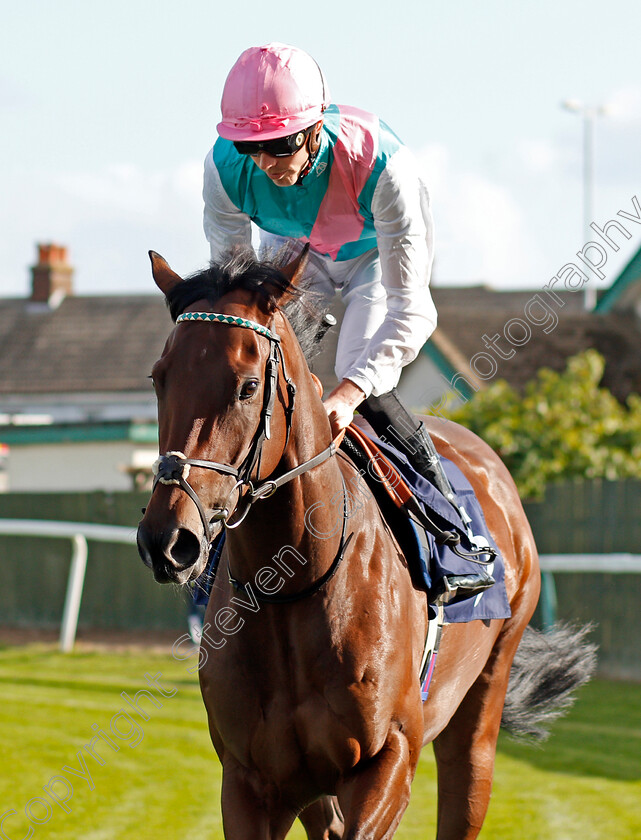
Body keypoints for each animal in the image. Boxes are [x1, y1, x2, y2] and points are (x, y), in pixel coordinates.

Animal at [138, 246, 592, 836]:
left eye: (247, 386)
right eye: (159, 379)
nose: (167, 540)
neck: (295, 586)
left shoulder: (387, 760)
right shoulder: (249, 780)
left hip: (482, 705)